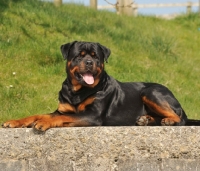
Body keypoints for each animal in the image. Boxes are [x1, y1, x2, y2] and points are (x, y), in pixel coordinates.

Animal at [3, 40, 191, 132]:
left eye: (96, 56)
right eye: (79, 55)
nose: (89, 62)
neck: (77, 91)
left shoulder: (92, 115)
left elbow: (58, 118)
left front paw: (43, 123)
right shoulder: (62, 110)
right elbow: (39, 114)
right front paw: (15, 121)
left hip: (151, 91)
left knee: (180, 118)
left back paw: (168, 120)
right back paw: (146, 120)